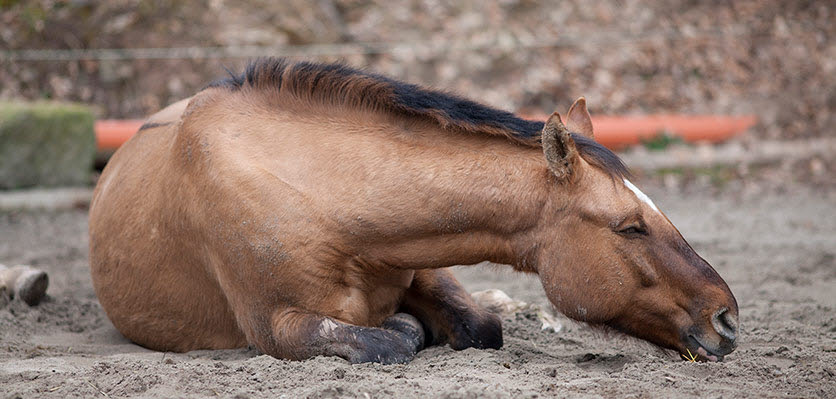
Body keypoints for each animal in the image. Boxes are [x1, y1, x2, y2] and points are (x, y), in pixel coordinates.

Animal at [90, 57, 740, 364]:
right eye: (629, 227)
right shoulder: (277, 326)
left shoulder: (424, 261)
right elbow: (390, 340)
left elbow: (480, 325)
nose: (727, 318)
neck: (322, 197)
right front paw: (407, 329)